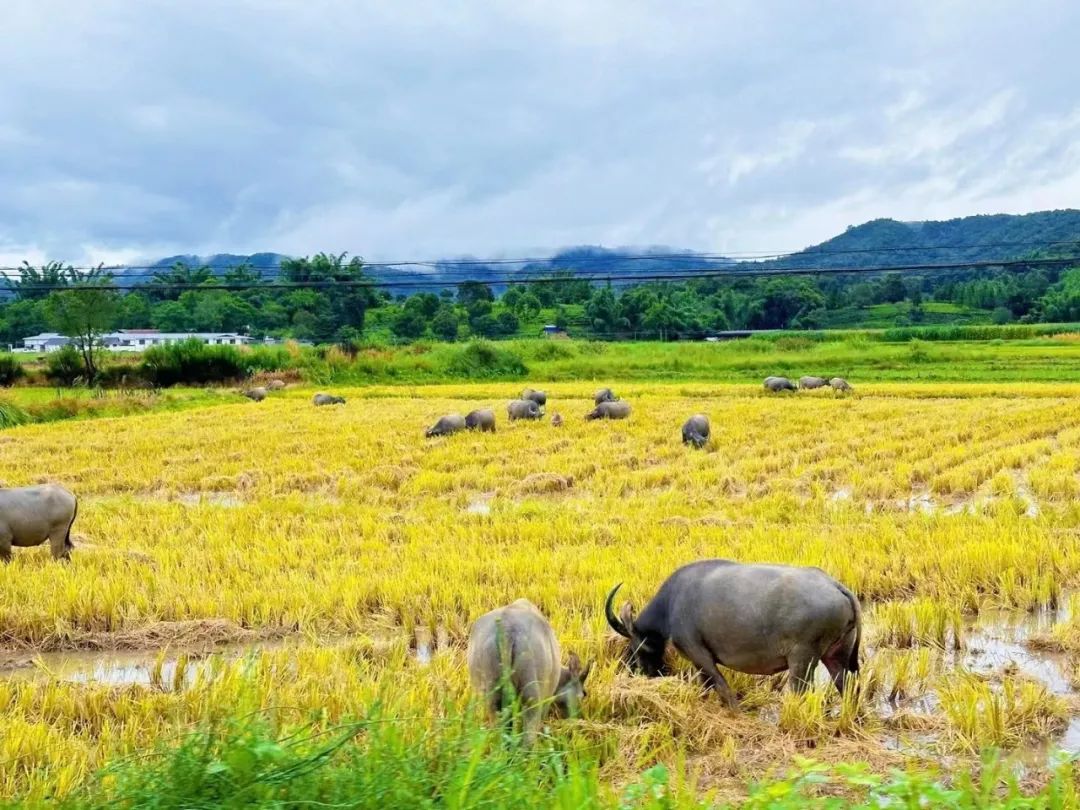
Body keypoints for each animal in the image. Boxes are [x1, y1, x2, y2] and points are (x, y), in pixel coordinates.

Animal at [468, 600, 596, 747]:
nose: (579, 719)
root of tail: (506, 629)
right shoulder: (546, 699)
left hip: (494, 697)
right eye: (582, 695)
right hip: (531, 697)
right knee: (528, 738)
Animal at [609, 561, 859, 708]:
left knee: (799, 691)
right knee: (847, 685)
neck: (671, 605)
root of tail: (834, 585)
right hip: (837, 656)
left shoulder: (698, 654)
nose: (632, 670)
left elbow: (721, 686)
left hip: (802, 659)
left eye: (634, 647)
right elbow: (706, 685)